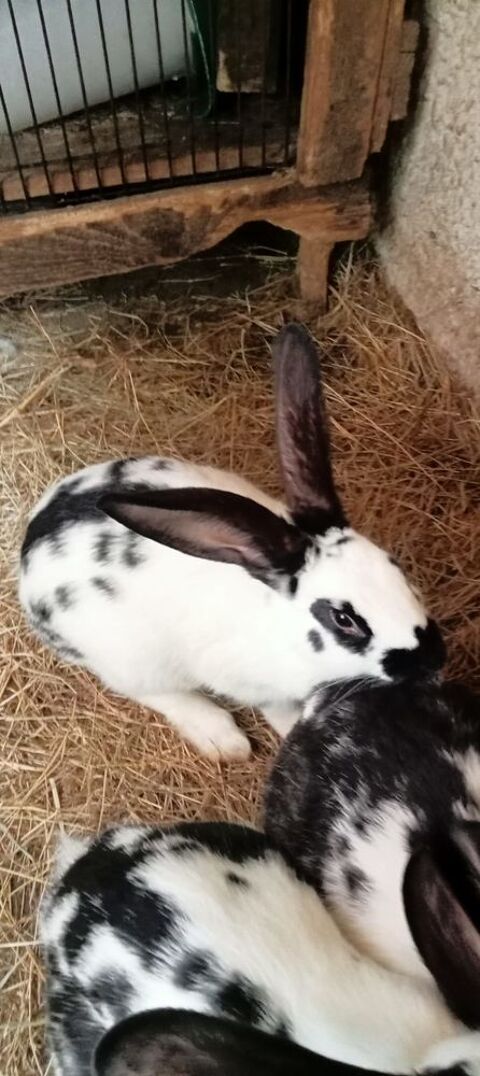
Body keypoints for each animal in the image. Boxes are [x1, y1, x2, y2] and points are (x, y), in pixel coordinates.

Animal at [19, 324, 445, 761]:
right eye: (343, 618)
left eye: (397, 568)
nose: (433, 658)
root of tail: (30, 546)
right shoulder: (251, 684)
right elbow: (278, 710)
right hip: (132, 661)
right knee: (156, 693)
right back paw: (222, 739)